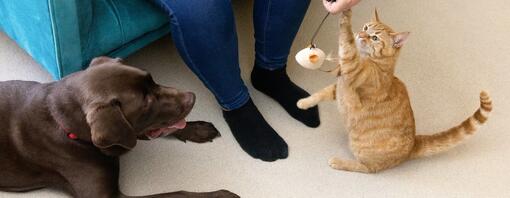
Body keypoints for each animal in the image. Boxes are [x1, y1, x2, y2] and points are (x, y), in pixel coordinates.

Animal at [296, 9, 492, 173]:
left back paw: (339, 162)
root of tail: (413, 144)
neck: (375, 62)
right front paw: (303, 103)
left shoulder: (352, 67)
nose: (361, 34)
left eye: (374, 38)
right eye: (365, 27)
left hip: (361, 149)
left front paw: (346, 13)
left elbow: (346, 41)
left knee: (368, 169)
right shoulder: (338, 88)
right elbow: (320, 93)